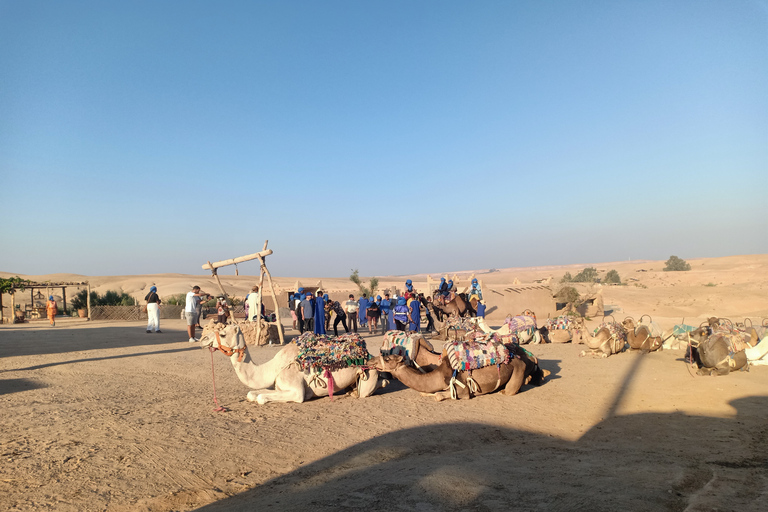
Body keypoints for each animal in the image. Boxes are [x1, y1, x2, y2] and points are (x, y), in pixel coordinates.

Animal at [201, 324, 390, 404]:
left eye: (223, 334)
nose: (203, 339)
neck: (274, 368)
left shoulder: (296, 391)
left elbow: (261, 398)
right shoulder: (278, 386)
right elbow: (252, 394)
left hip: (368, 375)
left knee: (370, 388)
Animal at [368, 346, 544, 402]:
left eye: (387, 358)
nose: (370, 361)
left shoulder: (464, 390)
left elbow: (439, 395)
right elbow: (428, 393)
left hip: (518, 368)